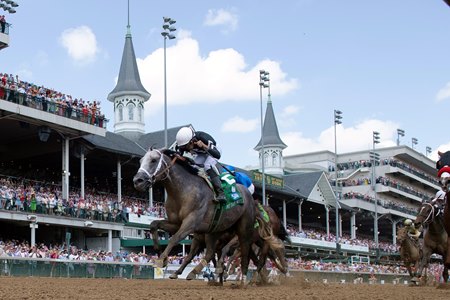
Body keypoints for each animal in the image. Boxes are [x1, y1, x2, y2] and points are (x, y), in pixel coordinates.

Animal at [132, 149, 256, 288]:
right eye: (140, 161)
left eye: (153, 160)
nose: (137, 181)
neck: (182, 191)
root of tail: (249, 194)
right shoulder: (176, 223)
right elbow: (154, 224)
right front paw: (159, 253)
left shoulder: (191, 222)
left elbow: (175, 238)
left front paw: (161, 259)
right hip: (214, 230)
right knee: (210, 252)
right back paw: (197, 273)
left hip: (243, 230)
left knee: (243, 252)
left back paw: (241, 280)